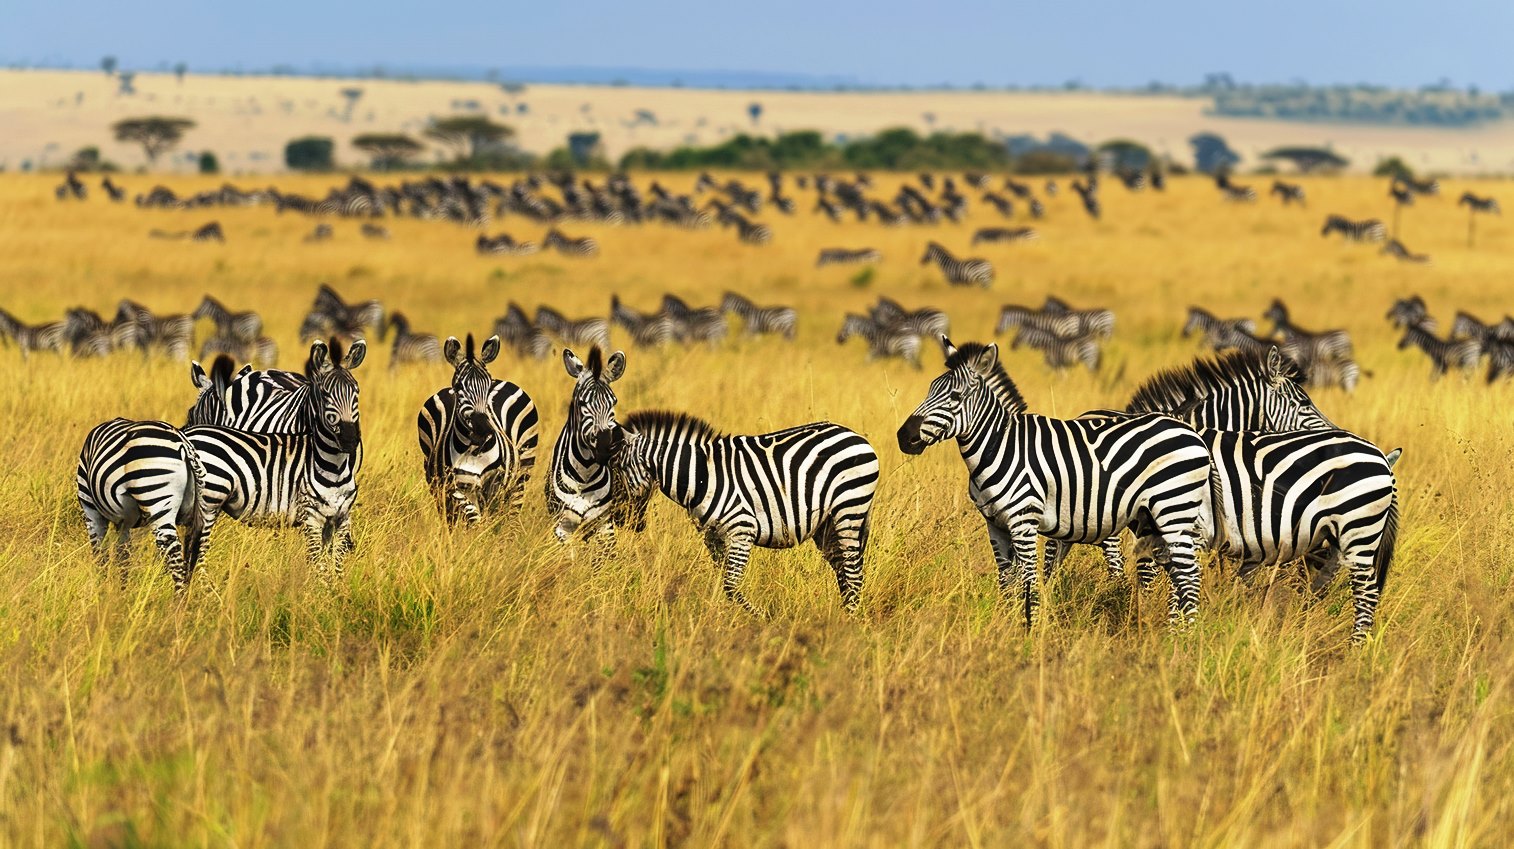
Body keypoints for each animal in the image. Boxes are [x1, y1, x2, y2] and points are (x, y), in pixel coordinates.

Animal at [74, 417, 205, 590]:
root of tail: (183, 444)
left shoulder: (90, 508)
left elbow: (100, 554)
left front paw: (101, 590)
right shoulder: (123, 522)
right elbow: (123, 556)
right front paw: (121, 591)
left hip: (157, 499)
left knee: (173, 553)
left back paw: (178, 597)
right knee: (191, 552)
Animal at [417, 332, 542, 523]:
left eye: (488, 386)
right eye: (458, 387)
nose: (483, 430)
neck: (473, 450)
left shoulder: (494, 482)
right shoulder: (453, 486)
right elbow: (472, 517)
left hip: (523, 470)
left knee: (513, 508)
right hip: (436, 484)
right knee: (449, 515)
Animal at [569, 408, 884, 611]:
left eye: (616, 468)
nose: (623, 521)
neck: (700, 476)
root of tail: (854, 435)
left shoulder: (741, 531)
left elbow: (731, 587)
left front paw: (760, 619)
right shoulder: (713, 536)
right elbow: (725, 584)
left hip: (849, 510)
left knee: (853, 573)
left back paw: (848, 624)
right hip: (826, 524)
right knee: (844, 572)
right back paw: (842, 616)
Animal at [896, 338, 1217, 629]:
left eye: (955, 396)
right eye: (930, 389)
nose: (904, 437)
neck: (999, 446)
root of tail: (1191, 432)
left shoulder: (1023, 521)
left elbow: (1030, 581)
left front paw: (1030, 631)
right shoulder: (995, 524)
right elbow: (1007, 583)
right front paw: (1006, 627)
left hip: (1173, 509)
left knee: (1190, 576)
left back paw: (1184, 639)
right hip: (1154, 517)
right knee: (1178, 574)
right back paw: (1174, 630)